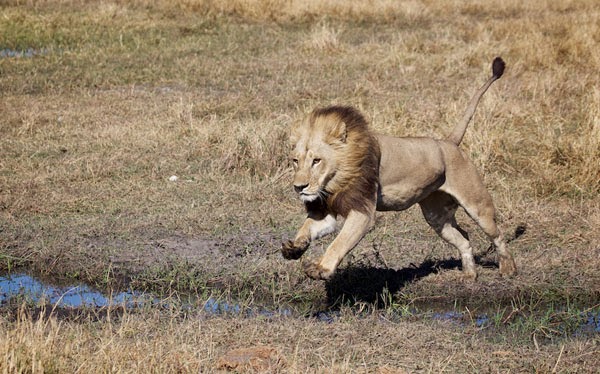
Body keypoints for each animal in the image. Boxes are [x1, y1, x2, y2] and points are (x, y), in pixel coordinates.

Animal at [282, 57, 516, 280]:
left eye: (316, 161)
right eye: (295, 161)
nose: (299, 187)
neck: (334, 182)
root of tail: (449, 142)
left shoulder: (362, 211)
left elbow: (339, 243)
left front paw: (321, 268)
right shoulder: (325, 209)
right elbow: (308, 227)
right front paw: (294, 248)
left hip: (478, 206)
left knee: (497, 236)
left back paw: (508, 269)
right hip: (436, 216)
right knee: (464, 239)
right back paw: (469, 274)